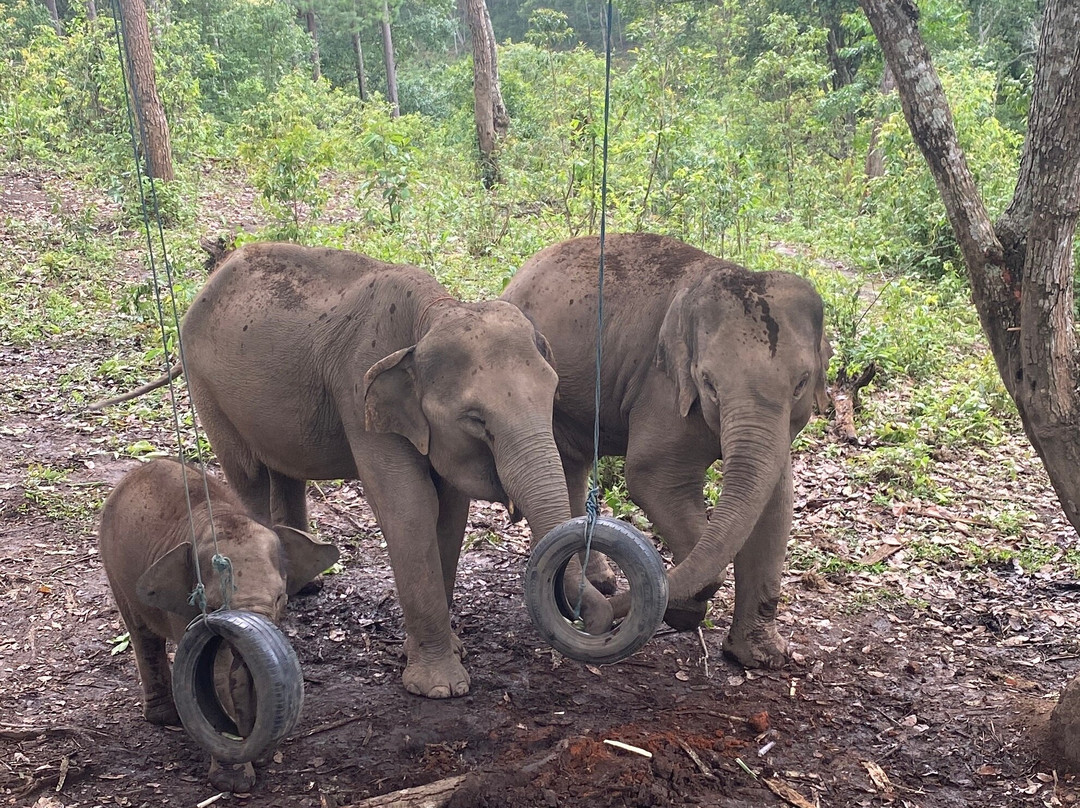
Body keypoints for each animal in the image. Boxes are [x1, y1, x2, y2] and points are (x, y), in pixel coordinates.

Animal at [91, 242, 610, 698]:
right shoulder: (357, 392)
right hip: (209, 389)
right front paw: (440, 687)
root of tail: (210, 280)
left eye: (553, 394)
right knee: (249, 477)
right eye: (476, 419)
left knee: (285, 472)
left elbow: (449, 512)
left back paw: (306, 585)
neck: (431, 314)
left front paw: (450, 651)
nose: (597, 609)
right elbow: (409, 507)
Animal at [98, 457, 339, 792]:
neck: (222, 518)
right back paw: (164, 718)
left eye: (281, 598)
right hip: (113, 565)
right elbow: (216, 676)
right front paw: (232, 783)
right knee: (142, 632)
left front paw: (260, 758)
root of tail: (137, 470)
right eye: (211, 607)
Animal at [502, 233, 831, 668]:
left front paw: (759, 658)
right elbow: (652, 477)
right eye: (708, 383)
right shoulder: (662, 386)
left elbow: (775, 505)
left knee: (573, 463)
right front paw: (687, 610)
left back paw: (600, 582)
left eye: (801, 383)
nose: (595, 621)